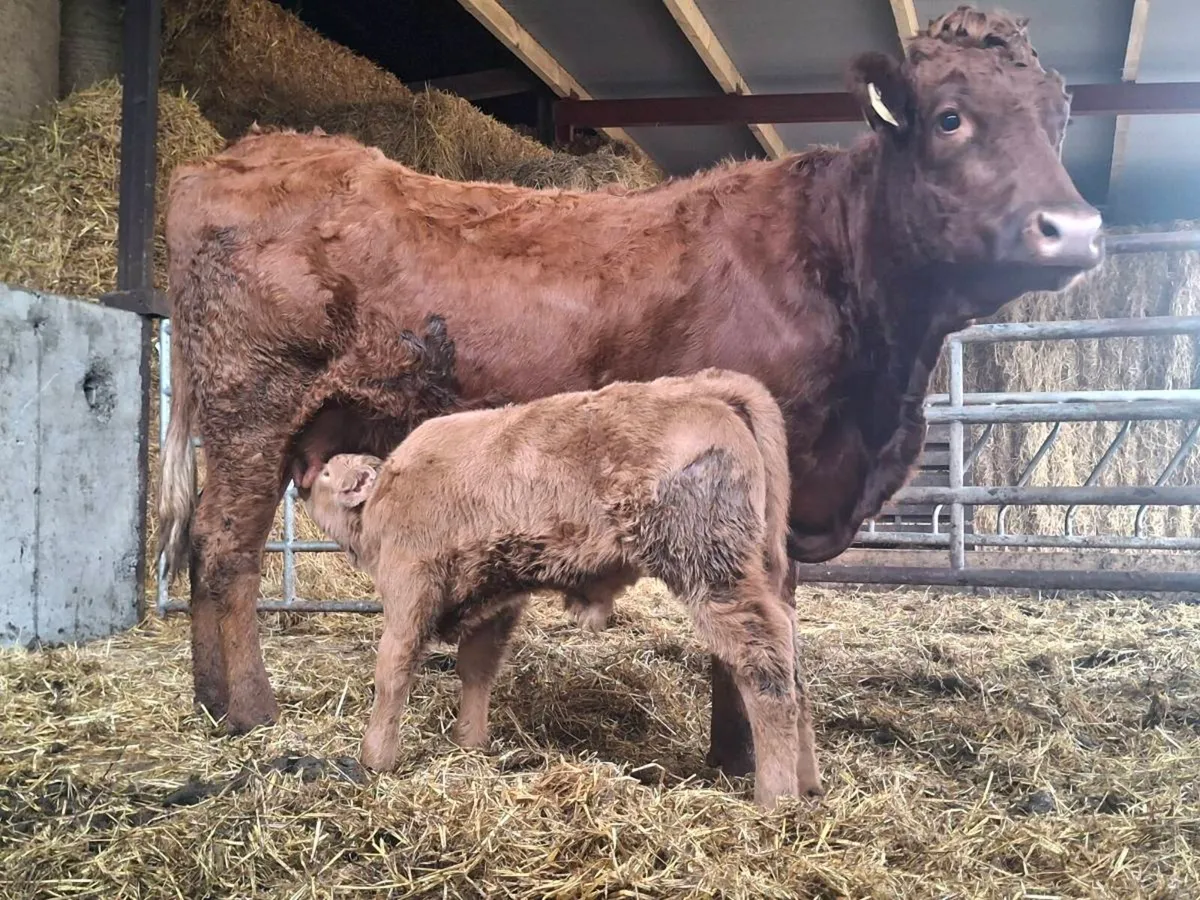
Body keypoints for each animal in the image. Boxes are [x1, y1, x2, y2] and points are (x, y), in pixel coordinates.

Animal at [303, 369, 811, 808]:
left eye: (329, 473)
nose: (308, 476)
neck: (384, 495)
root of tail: (699, 390)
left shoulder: (411, 589)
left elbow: (393, 670)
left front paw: (374, 758)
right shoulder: (495, 602)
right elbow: (476, 670)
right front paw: (470, 743)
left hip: (709, 573)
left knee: (764, 665)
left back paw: (775, 796)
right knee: (790, 653)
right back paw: (809, 783)